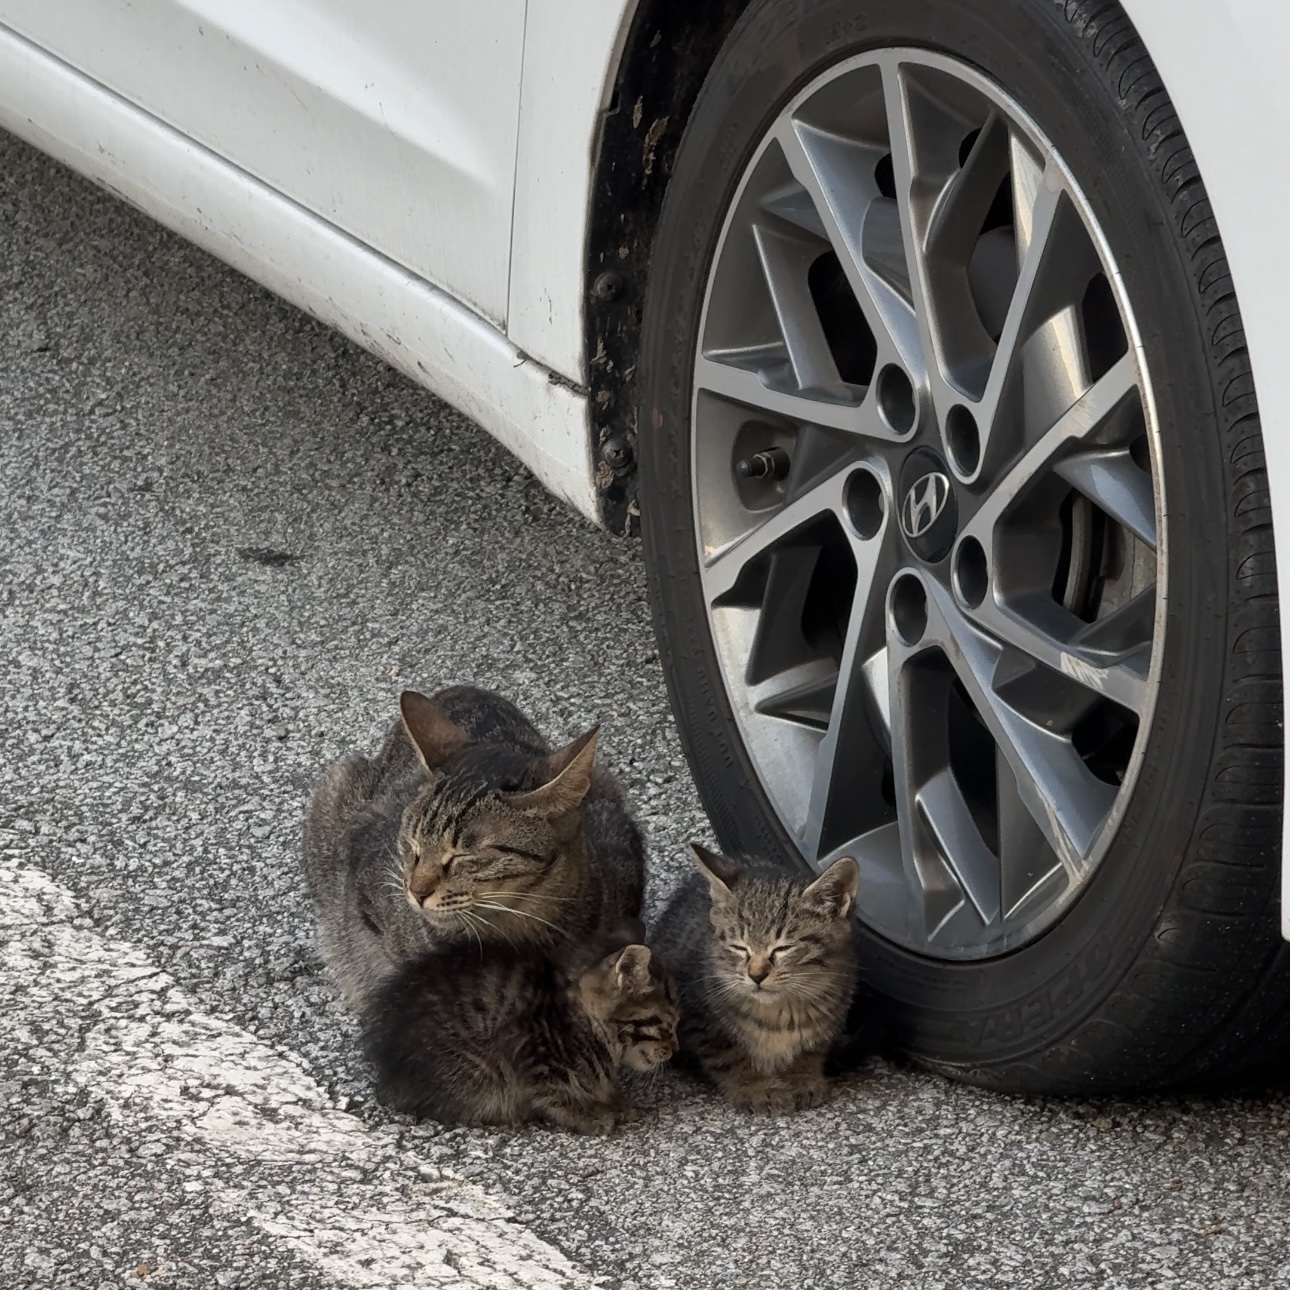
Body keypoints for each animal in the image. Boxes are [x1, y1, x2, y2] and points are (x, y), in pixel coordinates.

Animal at [363, 923, 681, 1135]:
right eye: (668, 1022)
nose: (675, 1049)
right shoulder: (529, 1049)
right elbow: (554, 1095)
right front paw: (590, 1115)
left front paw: (612, 1098)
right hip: (476, 1070)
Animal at [655, 846, 856, 1109]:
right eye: (740, 947)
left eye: (783, 948)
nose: (756, 975)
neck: (781, 1013)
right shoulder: (701, 1019)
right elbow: (729, 1056)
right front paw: (757, 1087)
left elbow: (809, 1051)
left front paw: (802, 1079)